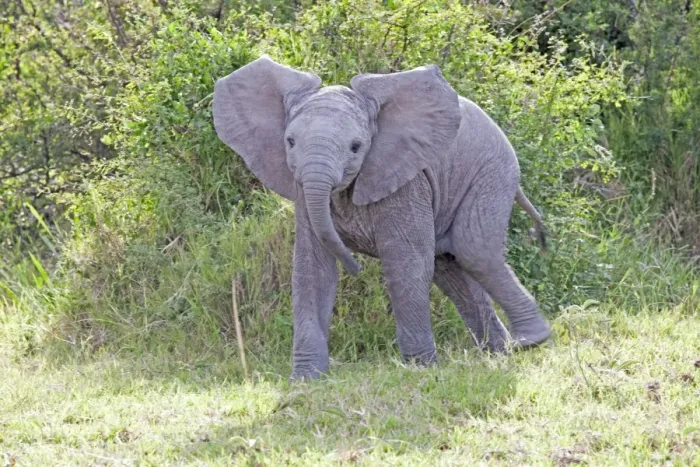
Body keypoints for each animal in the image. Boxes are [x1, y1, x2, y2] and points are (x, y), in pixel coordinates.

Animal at [213, 55, 552, 380]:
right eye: (290, 142)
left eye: (356, 147)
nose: (357, 266)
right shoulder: (302, 190)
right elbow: (313, 269)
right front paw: (305, 380)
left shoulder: (406, 178)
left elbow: (406, 263)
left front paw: (420, 370)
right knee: (451, 269)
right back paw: (500, 352)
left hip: (493, 170)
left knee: (474, 251)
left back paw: (530, 340)